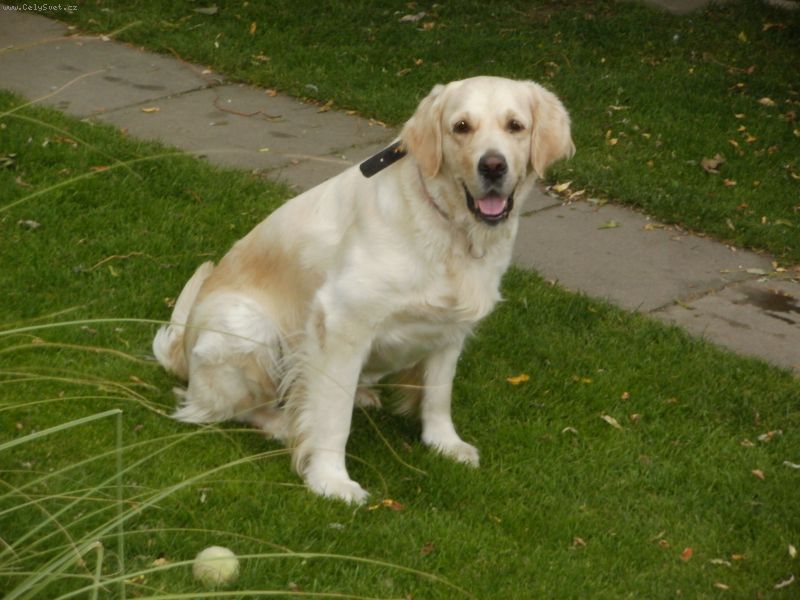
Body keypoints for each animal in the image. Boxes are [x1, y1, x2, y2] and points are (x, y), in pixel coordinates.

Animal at [152, 77, 576, 504]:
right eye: (461, 127)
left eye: (515, 126)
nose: (492, 166)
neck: (448, 226)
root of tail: (180, 353)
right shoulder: (341, 323)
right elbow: (333, 417)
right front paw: (331, 479)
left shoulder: (451, 325)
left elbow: (438, 392)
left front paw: (444, 442)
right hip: (244, 325)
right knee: (224, 408)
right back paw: (283, 423)